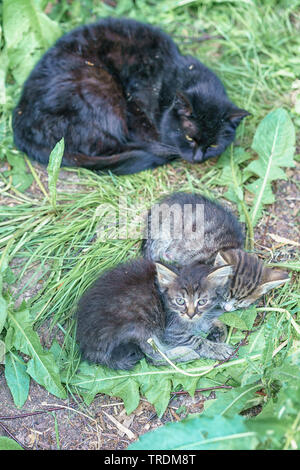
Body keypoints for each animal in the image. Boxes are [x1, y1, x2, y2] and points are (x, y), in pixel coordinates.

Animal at [12, 16, 250, 175]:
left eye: (214, 146)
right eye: (190, 138)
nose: (198, 158)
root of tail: (20, 122)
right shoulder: (134, 105)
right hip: (100, 89)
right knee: (105, 145)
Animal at [76, 258, 236, 370]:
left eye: (202, 301)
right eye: (180, 301)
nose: (190, 314)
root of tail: (86, 344)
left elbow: (212, 321)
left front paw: (218, 332)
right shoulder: (171, 330)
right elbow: (196, 340)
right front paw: (217, 348)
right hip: (141, 326)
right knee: (152, 358)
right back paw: (186, 353)